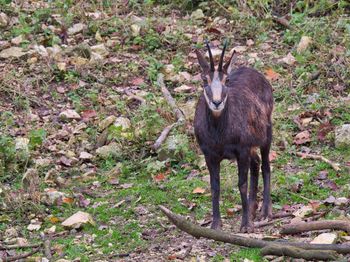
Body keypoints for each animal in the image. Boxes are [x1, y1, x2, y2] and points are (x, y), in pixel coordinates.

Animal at [194, 40, 274, 232]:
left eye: (227, 80)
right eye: (204, 80)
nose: (216, 102)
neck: (219, 135)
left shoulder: (241, 150)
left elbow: (241, 184)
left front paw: (245, 225)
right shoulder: (209, 154)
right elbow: (215, 186)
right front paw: (215, 224)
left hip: (266, 133)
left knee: (265, 165)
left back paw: (264, 212)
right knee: (256, 162)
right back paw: (252, 209)